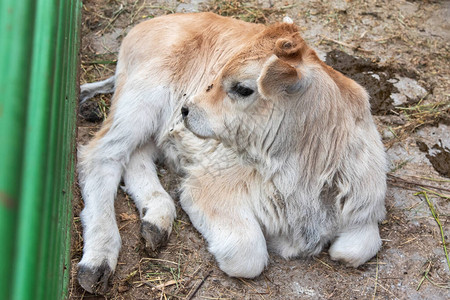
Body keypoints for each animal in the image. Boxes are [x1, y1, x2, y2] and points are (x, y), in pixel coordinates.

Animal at [77, 11, 386, 292]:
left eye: (243, 88)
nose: (186, 109)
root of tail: (150, 23)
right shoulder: (207, 186)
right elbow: (246, 255)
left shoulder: (364, 207)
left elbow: (355, 248)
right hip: (142, 98)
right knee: (100, 156)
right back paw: (98, 262)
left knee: (135, 157)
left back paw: (156, 221)